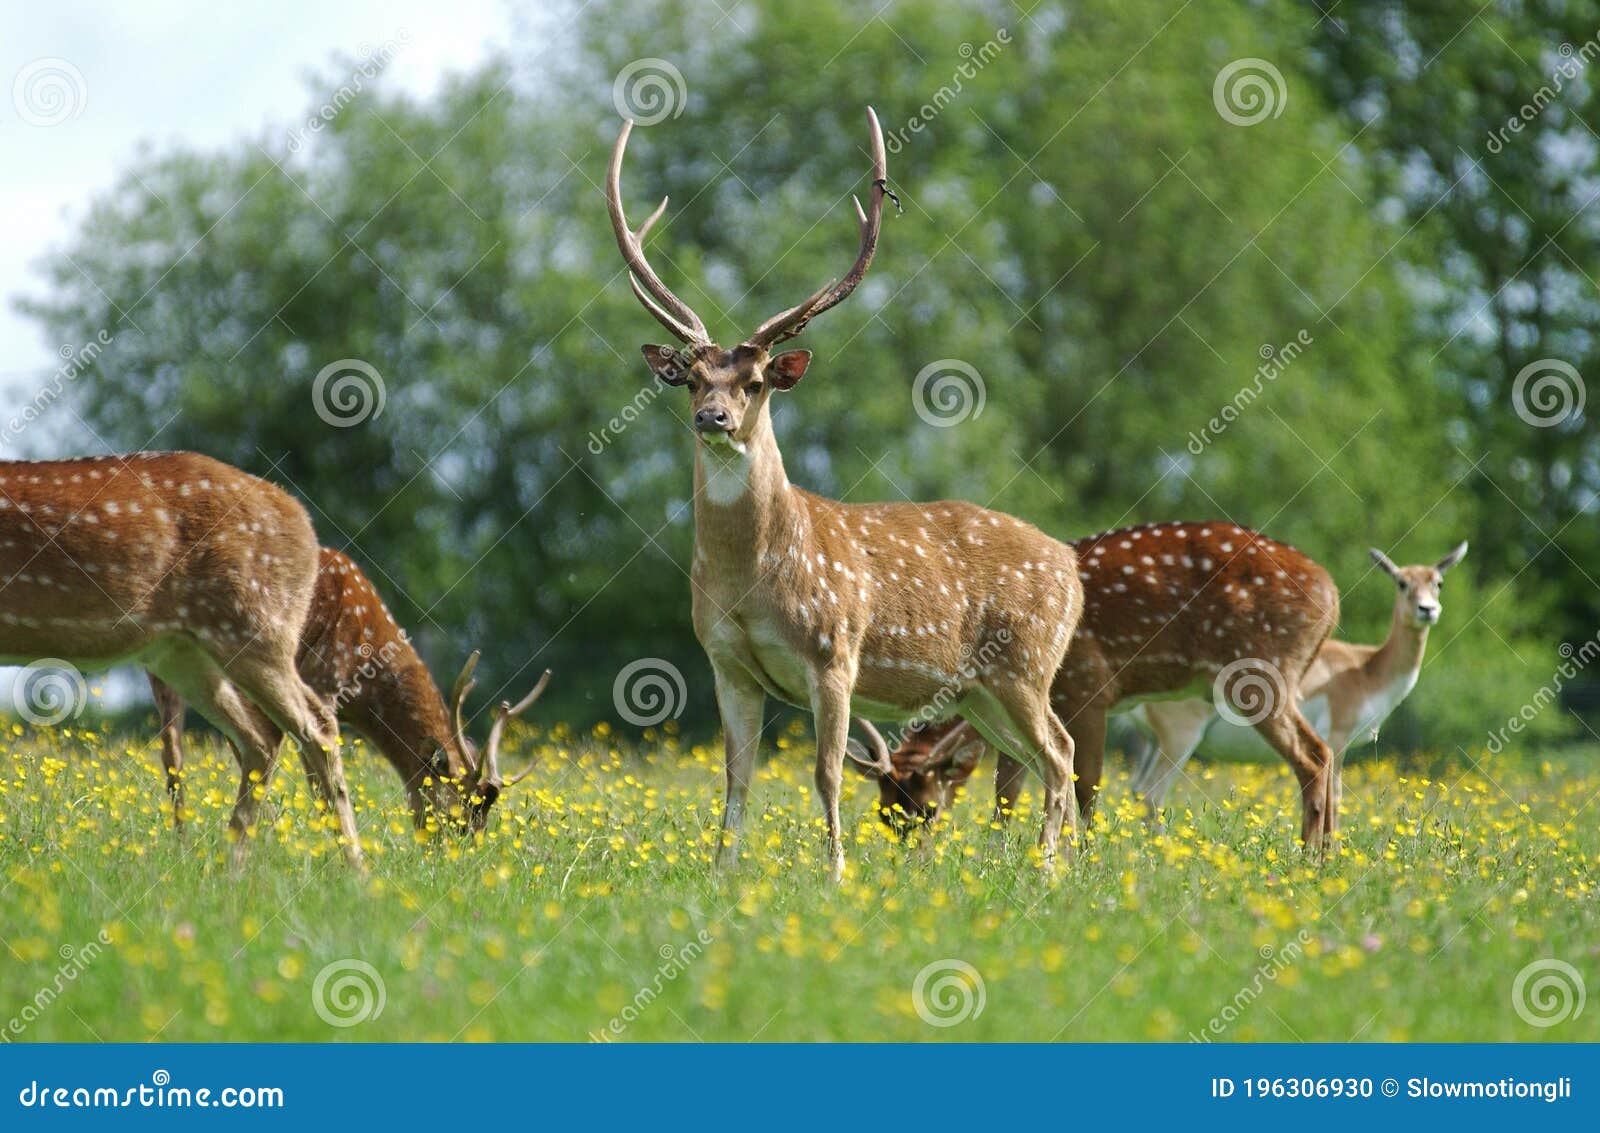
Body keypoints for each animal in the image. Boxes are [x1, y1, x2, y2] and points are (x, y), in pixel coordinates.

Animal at [0, 451, 363, 870]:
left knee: (315, 726)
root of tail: (301, 517)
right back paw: (229, 865)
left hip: (254, 624)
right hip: (181, 650)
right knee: (262, 738)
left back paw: (356, 869)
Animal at [147, 545, 549, 834]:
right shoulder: (323, 683)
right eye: (459, 816)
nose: (455, 860)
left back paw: (184, 842)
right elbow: (315, 775)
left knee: (173, 750)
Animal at [607, 107, 1085, 879]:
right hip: (980, 692)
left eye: (756, 381)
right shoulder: (725, 662)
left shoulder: (835, 649)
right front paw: (721, 874)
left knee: (1061, 752)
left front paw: (833, 874)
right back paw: (1071, 867)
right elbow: (735, 778)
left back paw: (1046, 868)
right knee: (1045, 757)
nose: (713, 418)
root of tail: (1072, 567)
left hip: (1026, 660)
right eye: (692, 379)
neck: (751, 580)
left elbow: (827, 773)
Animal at [847, 522, 1343, 848]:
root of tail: (1333, 593)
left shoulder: (1088, 686)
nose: (912, 858)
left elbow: (1086, 785)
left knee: (1313, 755)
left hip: (1261, 670)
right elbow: (1008, 790)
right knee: (1327, 756)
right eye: (884, 814)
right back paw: (1328, 858)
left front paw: (1082, 857)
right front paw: (999, 855)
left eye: (928, 809)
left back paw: (1307, 857)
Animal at [1131, 541, 1467, 823]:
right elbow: (1336, 798)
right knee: (1152, 794)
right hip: (1181, 739)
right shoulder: (1337, 739)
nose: (1427, 609)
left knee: (1135, 790)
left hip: (1152, 743)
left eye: (1438, 582)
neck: (1365, 669)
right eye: (1402, 582)